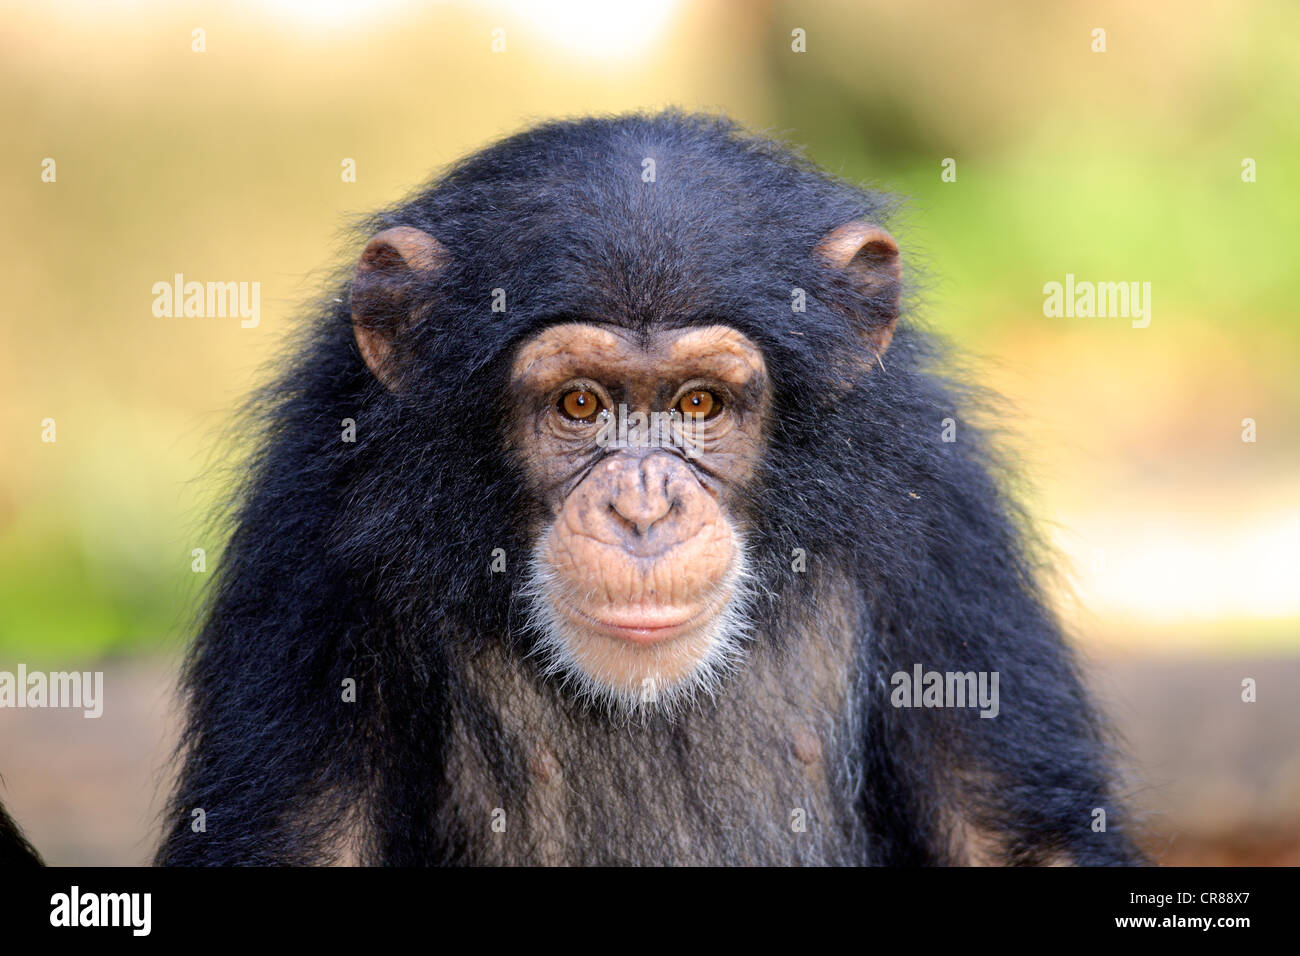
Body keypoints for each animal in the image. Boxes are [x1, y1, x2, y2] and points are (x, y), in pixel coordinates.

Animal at [152, 111, 1138, 868]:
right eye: (579, 404)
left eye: (699, 403)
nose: (643, 507)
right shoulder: (313, 535)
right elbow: (301, 841)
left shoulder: (940, 511)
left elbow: (1014, 838)